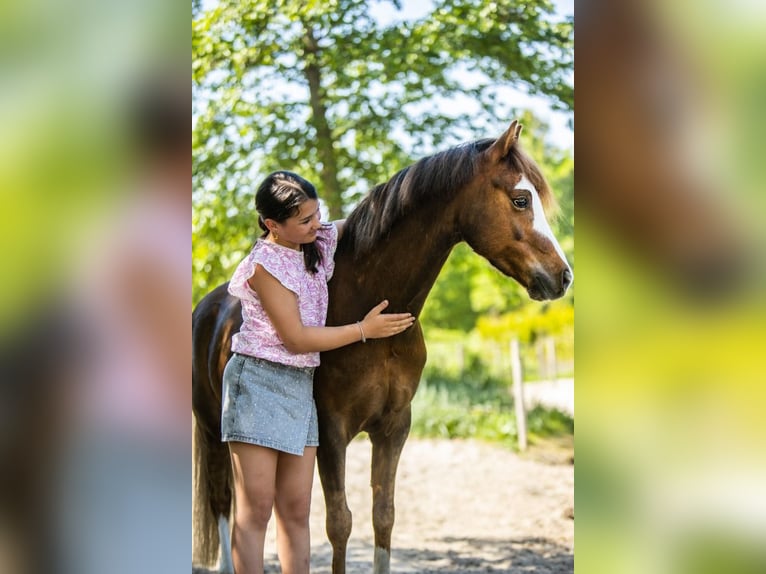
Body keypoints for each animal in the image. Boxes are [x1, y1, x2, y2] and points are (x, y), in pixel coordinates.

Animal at [192, 120, 572, 574]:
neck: (370, 301)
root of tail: (209, 306)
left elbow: (384, 516)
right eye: (520, 199)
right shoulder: (331, 431)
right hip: (214, 432)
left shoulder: (393, 428)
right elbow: (339, 523)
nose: (563, 276)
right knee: (225, 504)